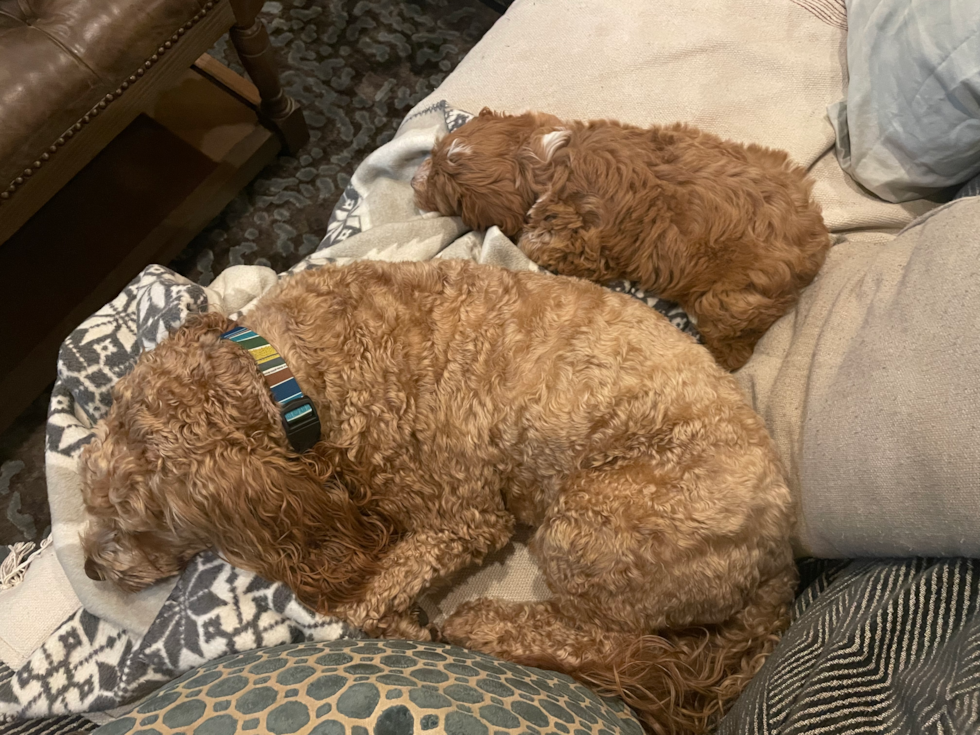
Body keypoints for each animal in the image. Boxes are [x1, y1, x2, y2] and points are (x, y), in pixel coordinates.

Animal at [82, 260, 796, 735]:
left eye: (136, 520)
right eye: (88, 493)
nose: (90, 567)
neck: (286, 375)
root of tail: (778, 556)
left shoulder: (465, 518)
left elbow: (365, 603)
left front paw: (404, 624)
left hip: (589, 534)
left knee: (601, 640)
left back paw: (480, 624)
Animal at [410, 107, 832, 370]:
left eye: (440, 187)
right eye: (434, 154)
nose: (413, 179)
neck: (540, 159)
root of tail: (817, 246)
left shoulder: (579, 244)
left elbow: (534, 241)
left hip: (726, 302)